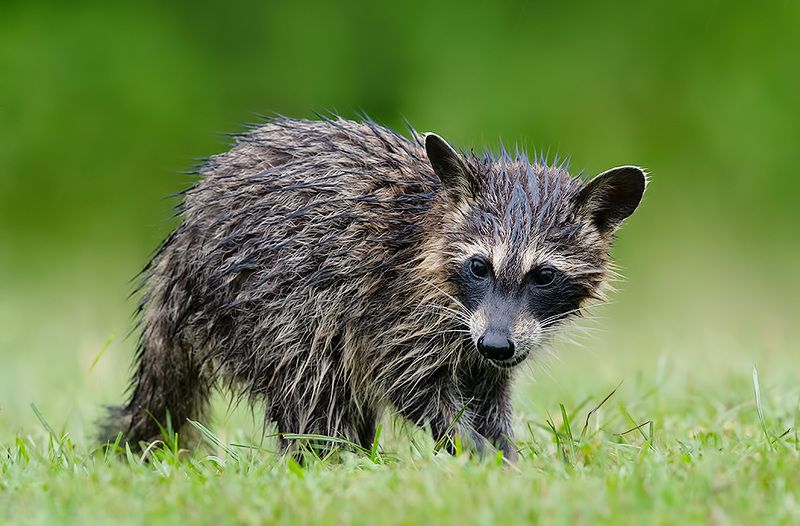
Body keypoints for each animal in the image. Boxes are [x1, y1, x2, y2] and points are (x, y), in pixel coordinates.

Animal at [100, 117, 646, 461]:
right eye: (479, 267)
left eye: (543, 275)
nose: (495, 345)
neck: (429, 224)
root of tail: (181, 243)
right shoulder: (393, 305)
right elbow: (408, 382)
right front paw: (477, 454)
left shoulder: (494, 341)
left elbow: (489, 399)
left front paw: (506, 455)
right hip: (268, 300)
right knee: (312, 383)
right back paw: (330, 462)